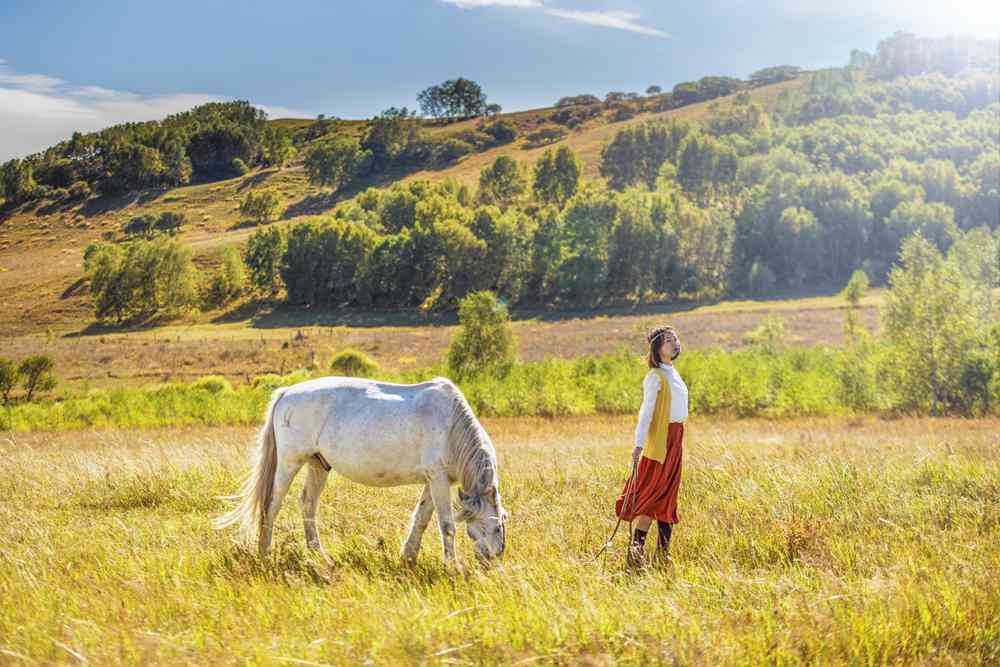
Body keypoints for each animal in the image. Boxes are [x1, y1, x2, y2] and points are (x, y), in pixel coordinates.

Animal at [213, 376, 508, 564]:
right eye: (495, 527)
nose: (495, 558)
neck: (451, 426)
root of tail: (286, 393)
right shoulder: (438, 479)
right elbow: (446, 525)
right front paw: (452, 566)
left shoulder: (432, 481)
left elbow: (422, 518)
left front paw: (408, 557)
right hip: (289, 463)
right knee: (272, 504)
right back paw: (264, 553)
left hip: (318, 465)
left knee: (307, 504)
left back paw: (320, 556)